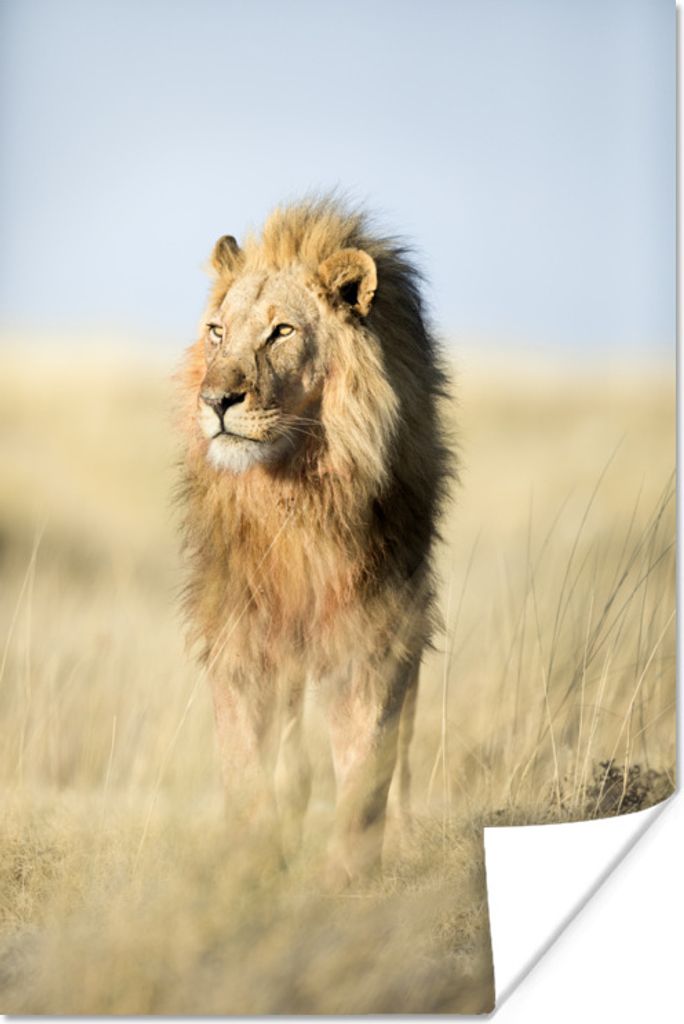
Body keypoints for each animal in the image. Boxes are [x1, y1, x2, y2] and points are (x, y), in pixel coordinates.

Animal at [178, 197, 451, 888]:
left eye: (281, 332)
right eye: (217, 331)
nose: (216, 400)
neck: (296, 490)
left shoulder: (379, 627)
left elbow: (368, 762)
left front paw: (347, 878)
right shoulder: (239, 630)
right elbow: (246, 764)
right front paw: (251, 869)